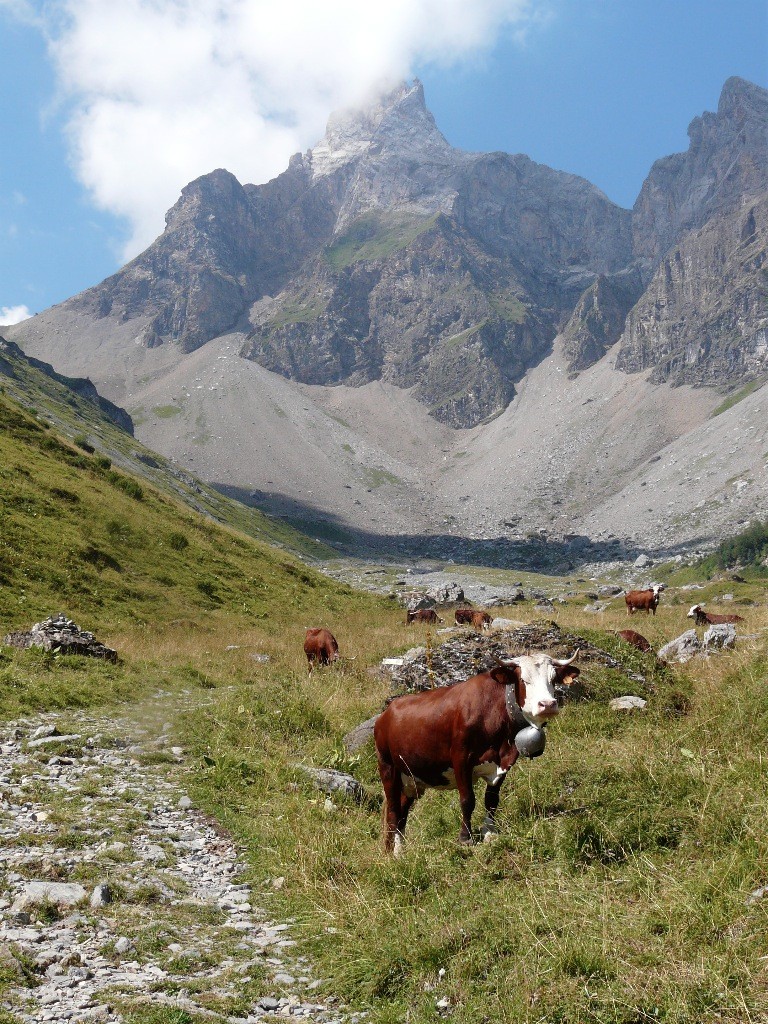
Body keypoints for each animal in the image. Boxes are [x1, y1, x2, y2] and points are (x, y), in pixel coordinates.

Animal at [376, 651, 581, 851]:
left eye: (553, 679)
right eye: (524, 679)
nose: (547, 704)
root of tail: (385, 714)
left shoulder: (502, 763)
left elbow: (491, 800)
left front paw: (490, 833)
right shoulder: (461, 759)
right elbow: (468, 800)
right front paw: (465, 837)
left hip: (412, 779)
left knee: (402, 811)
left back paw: (399, 849)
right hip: (388, 768)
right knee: (393, 811)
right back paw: (392, 853)